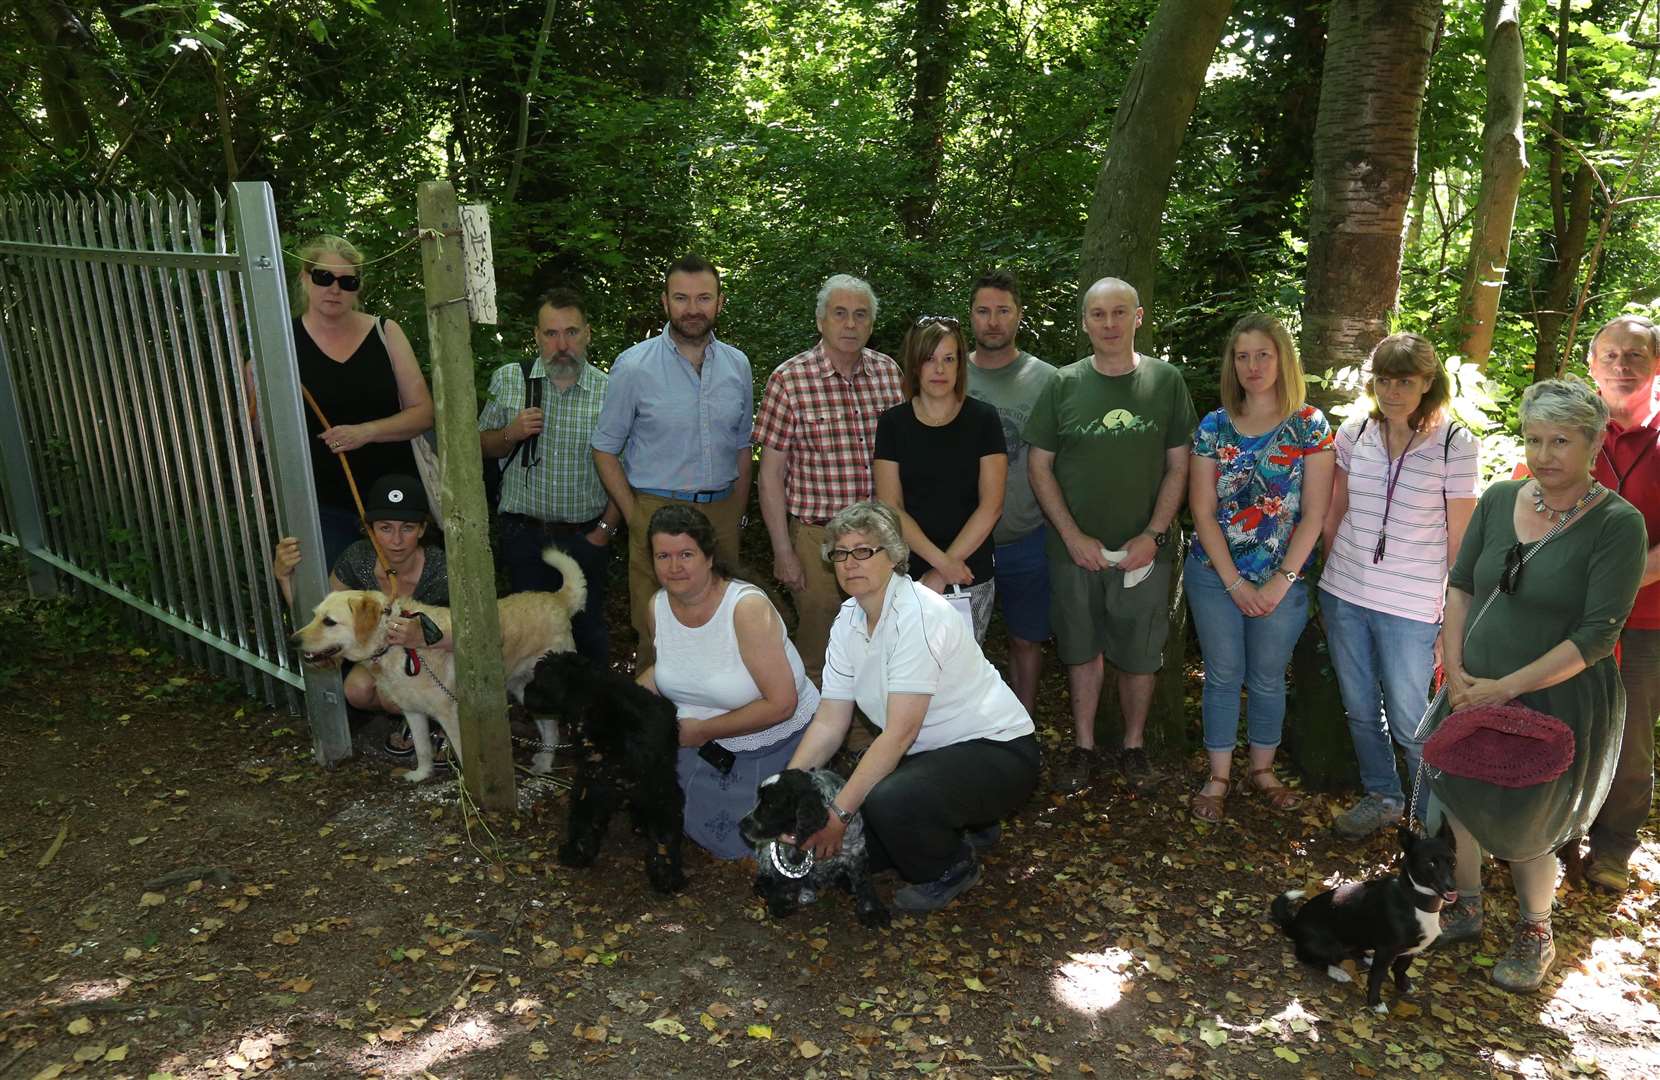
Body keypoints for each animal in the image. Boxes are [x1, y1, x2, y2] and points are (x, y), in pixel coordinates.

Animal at [295, 544, 587, 783]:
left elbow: (464, 756)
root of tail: (558, 599)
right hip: (526, 691)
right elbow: (422, 749)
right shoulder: (413, 713)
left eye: (329, 621)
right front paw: (422, 774)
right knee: (549, 728)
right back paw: (544, 761)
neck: (395, 643)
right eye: (314, 616)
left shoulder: (453, 716)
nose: (292, 640)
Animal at [743, 769, 896, 929]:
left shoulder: (856, 850)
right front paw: (780, 901)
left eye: (770, 805)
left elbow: (864, 881)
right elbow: (783, 877)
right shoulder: (790, 850)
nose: (742, 824)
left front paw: (872, 911)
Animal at [1268, 829, 1454, 1015]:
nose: (1451, 887)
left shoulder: (1411, 950)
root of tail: (1294, 923)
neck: (1414, 900)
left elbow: (1401, 968)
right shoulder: (1387, 950)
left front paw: (1402, 985)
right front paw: (1375, 1002)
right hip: (1331, 947)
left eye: (1452, 861)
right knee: (1307, 957)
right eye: (1431, 863)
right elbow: (1377, 977)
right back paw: (1337, 971)